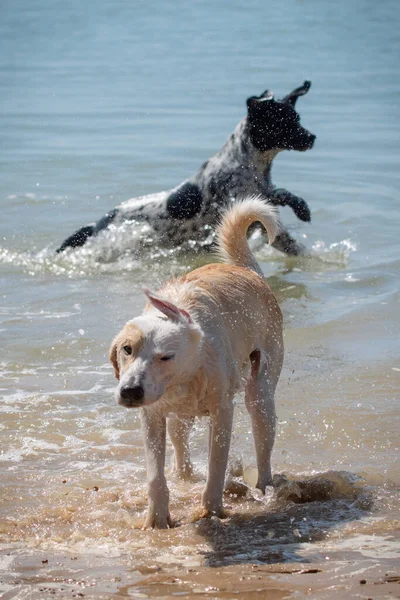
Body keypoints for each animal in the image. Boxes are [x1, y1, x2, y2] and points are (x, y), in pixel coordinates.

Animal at [57, 80, 316, 255]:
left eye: (298, 118)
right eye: (284, 122)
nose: (312, 137)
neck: (247, 163)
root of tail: (97, 224)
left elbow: (280, 197)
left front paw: (301, 208)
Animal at [109, 196, 284, 524]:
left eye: (165, 356)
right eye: (127, 349)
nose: (130, 392)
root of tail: (249, 272)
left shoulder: (222, 411)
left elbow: (217, 465)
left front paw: (211, 510)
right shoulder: (151, 416)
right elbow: (155, 474)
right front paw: (157, 518)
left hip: (261, 396)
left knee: (263, 444)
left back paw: (264, 488)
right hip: (180, 418)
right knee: (181, 446)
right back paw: (183, 476)